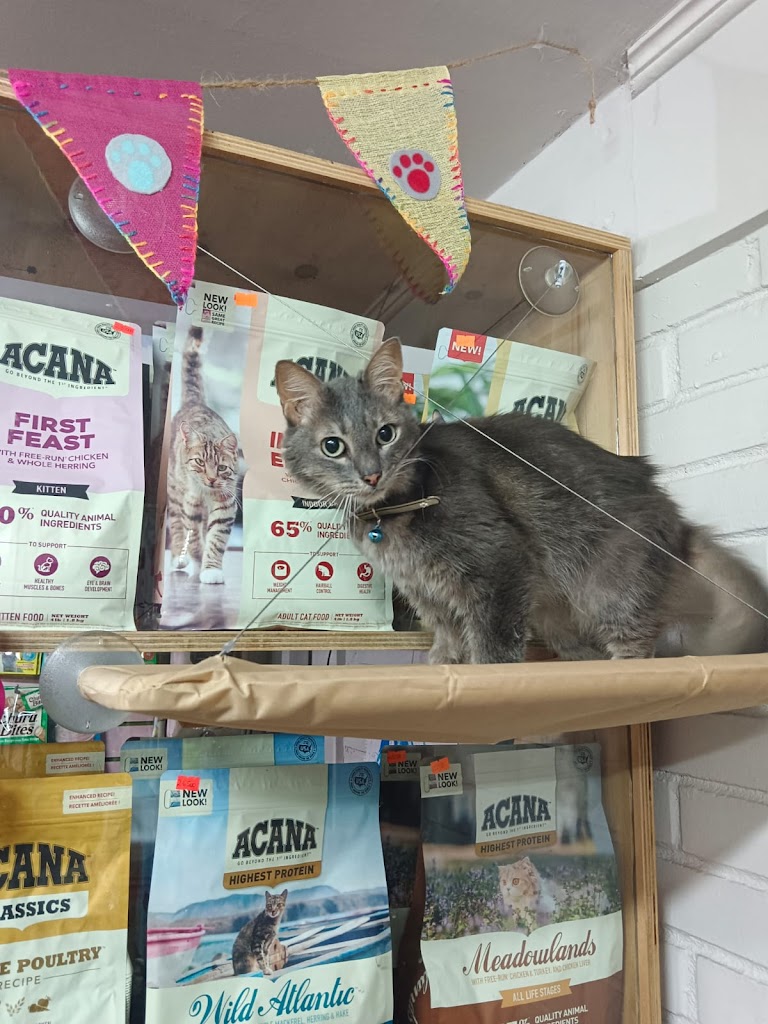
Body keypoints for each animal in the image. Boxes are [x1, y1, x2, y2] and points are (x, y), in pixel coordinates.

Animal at [166, 327, 239, 585]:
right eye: (199, 462)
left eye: (221, 468)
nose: (210, 479)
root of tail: (195, 402)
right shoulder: (191, 502)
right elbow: (193, 533)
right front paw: (198, 556)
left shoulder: (226, 502)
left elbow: (216, 538)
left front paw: (211, 568)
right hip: (174, 488)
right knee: (176, 521)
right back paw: (179, 556)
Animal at [274, 338, 768, 664]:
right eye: (333, 446)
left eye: (385, 434)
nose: (372, 474)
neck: (391, 514)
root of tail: (672, 513)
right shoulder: (427, 593)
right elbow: (448, 638)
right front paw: (442, 666)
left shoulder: (499, 564)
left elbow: (492, 644)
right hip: (557, 614)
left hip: (608, 586)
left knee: (637, 642)